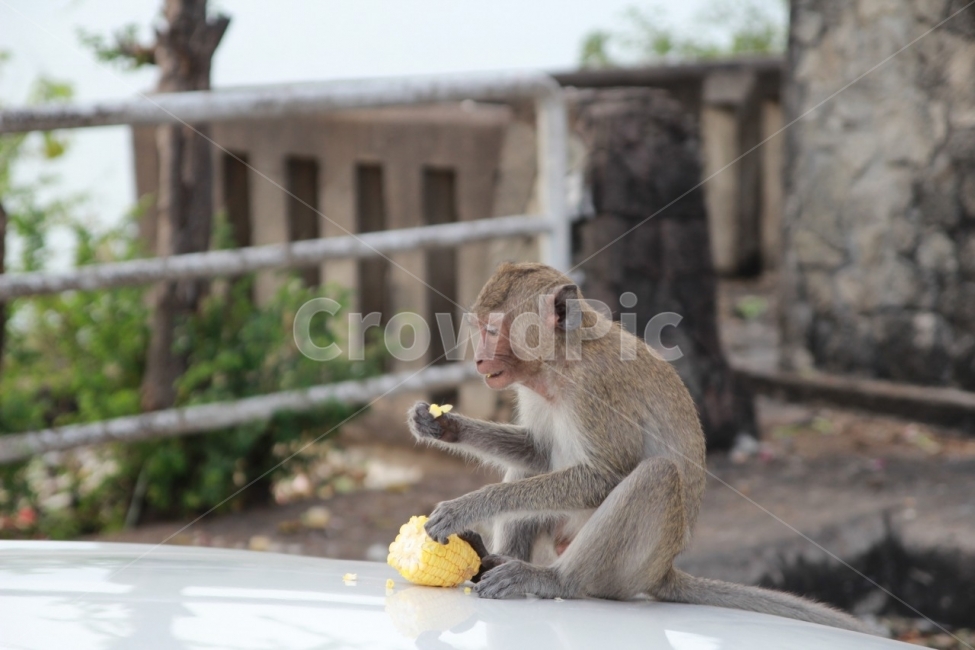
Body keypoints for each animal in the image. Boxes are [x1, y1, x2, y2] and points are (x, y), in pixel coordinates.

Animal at [407, 262, 869, 634]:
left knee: (655, 476)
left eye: (491, 331)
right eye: (479, 329)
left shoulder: (597, 390)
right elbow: (537, 453)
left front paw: (469, 505)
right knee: (533, 471)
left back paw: (554, 580)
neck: (561, 361)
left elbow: (606, 474)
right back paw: (493, 558)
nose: (479, 361)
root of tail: (662, 572)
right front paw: (443, 426)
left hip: (628, 568)